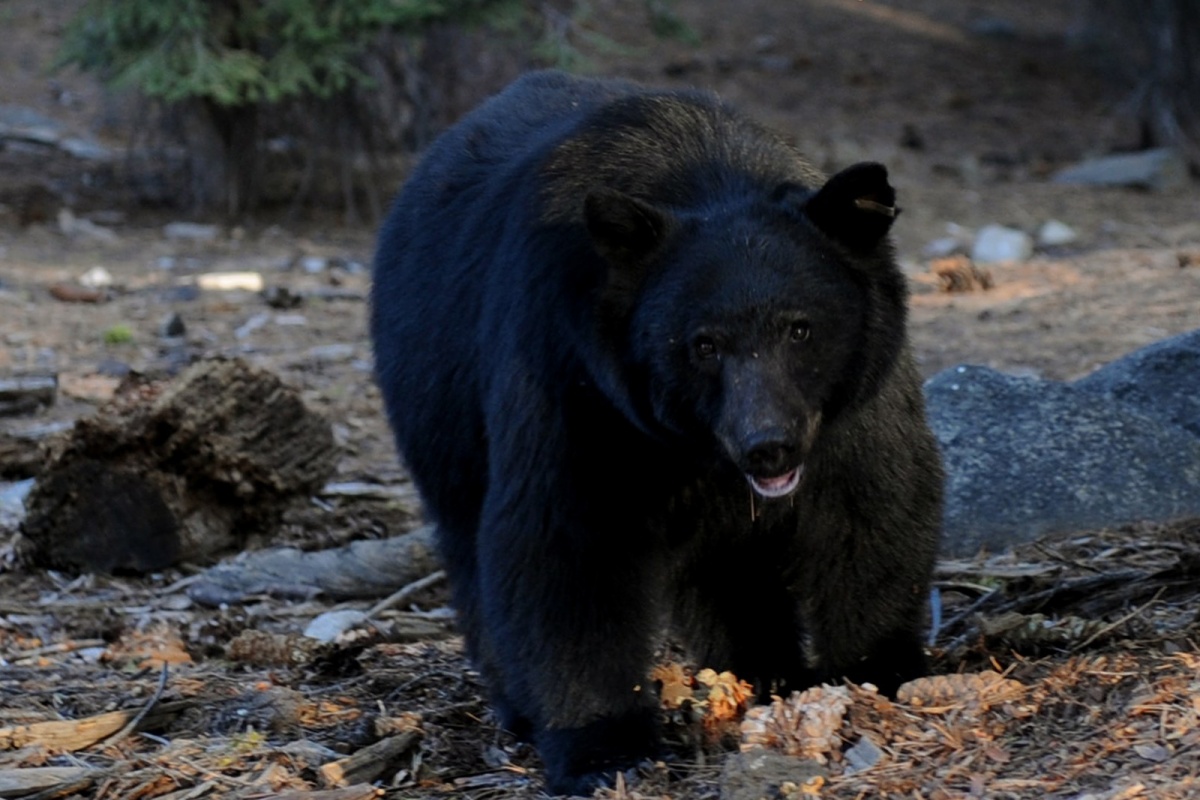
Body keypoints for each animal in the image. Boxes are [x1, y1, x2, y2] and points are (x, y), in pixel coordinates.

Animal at [369, 70, 940, 796]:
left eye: (800, 328)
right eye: (703, 344)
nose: (768, 446)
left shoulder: (854, 404)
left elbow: (871, 509)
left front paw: (879, 672)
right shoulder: (575, 379)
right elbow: (568, 544)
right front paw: (605, 747)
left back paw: (762, 669)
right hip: (437, 404)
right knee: (470, 545)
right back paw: (519, 706)